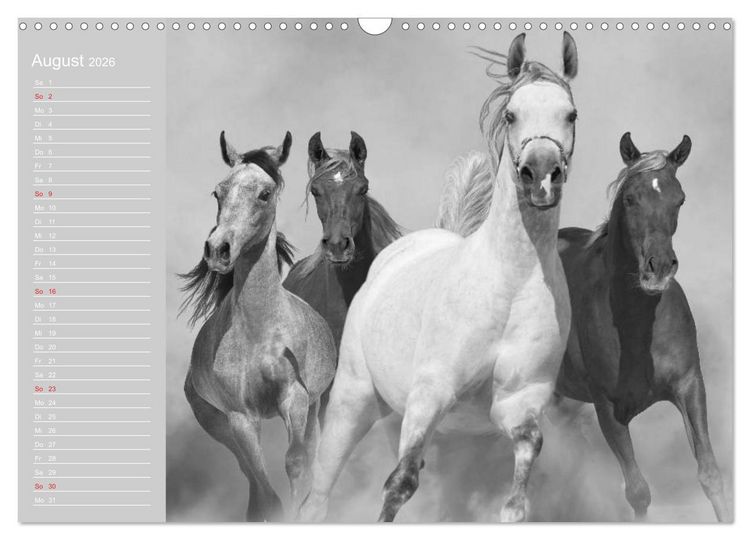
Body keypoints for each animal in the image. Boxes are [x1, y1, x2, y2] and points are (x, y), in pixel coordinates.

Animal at [179, 131, 337, 521]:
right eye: (218, 192)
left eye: (265, 193)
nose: (218, 249)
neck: (260, 333)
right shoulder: (239, 417)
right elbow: (263, 484)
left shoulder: (296, 398)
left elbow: (296, 462)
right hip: (214, 421)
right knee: (247, 470)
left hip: (315, 406)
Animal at [299, 31, 579, 522]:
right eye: (512, 113)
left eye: (571, 113)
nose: (542, 175)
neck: (509, 284)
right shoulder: (430, 393)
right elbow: (400, 483)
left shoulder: (517, 403)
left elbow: (518, 490)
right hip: (354, 400)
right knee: (319, 494)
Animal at [553, 132, 729, 521]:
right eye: (630, 199)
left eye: (679, 199)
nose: (659, 267)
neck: (638, 327)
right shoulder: (608, 410)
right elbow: (638, 493)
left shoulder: (689, 385)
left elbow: (710, 474)